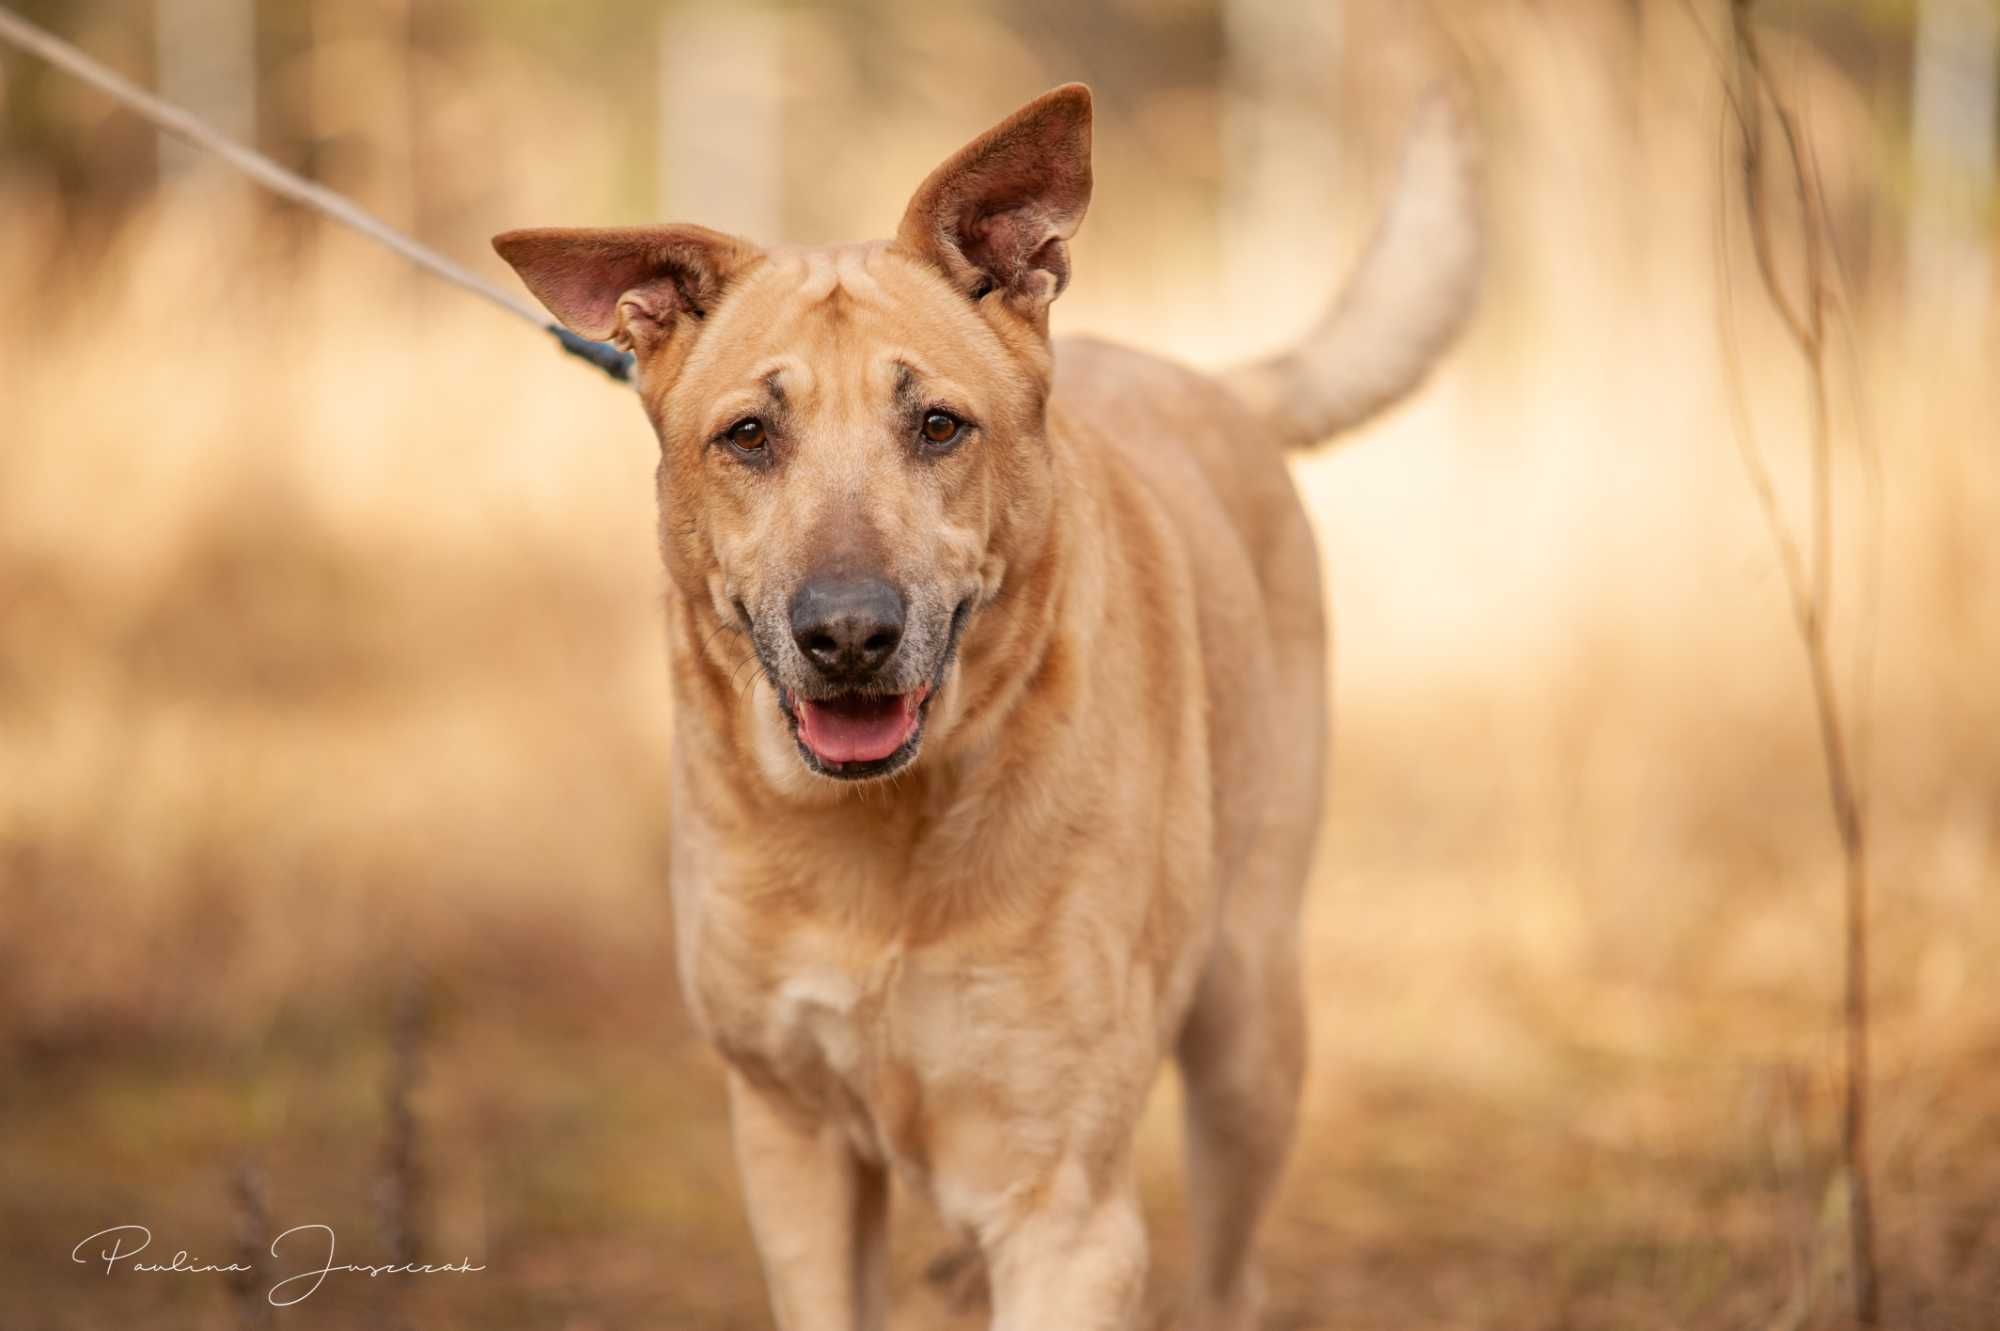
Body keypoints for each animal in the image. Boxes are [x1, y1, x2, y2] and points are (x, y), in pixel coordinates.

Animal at [494, 82, 1480, 1327]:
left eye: (937, 426)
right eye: (749, 435)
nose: (847, 634)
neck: (881, 843)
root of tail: (1205, 378)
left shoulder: (1065, 1211)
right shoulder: (793, 1147)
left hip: (1248, 1030)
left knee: (1230, 1265)